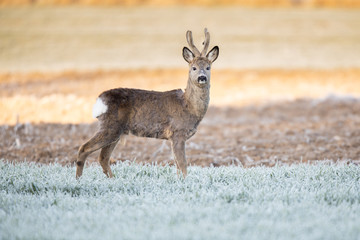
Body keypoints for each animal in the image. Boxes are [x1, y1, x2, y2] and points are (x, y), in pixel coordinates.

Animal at [76, 28, 219, 178]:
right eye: (194, 68)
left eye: (208, 67)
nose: (202, 77)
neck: (188, 106)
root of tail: (99, 100)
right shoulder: (178, 132)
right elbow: (183, 165)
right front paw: (185, 181)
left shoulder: (174, 137)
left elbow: (178, 166)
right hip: (110, 127)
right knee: (84, 148)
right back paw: (79, 179)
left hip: (116, 131)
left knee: (103, 157)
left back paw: (112, 179)